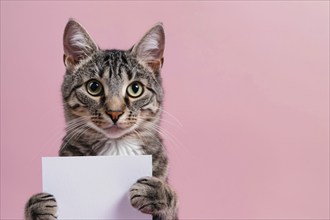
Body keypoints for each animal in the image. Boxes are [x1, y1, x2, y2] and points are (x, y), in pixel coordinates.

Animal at [24, 18, 178, 220]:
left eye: (135, 88)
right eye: (94, 87)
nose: (115, 112)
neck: (115, 149)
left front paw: (158, 192)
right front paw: (37, 206)